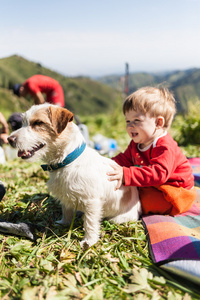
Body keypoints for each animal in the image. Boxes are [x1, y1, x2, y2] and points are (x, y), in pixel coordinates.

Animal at [8, 104, 141, 247]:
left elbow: (90, 223)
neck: (67, 161)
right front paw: (64, 223)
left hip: (117, 219)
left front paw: (89, 241)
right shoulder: (65, 196)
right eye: (22, 122)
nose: (9, 139)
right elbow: (66, 210)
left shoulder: (92, 202)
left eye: (38, 123)